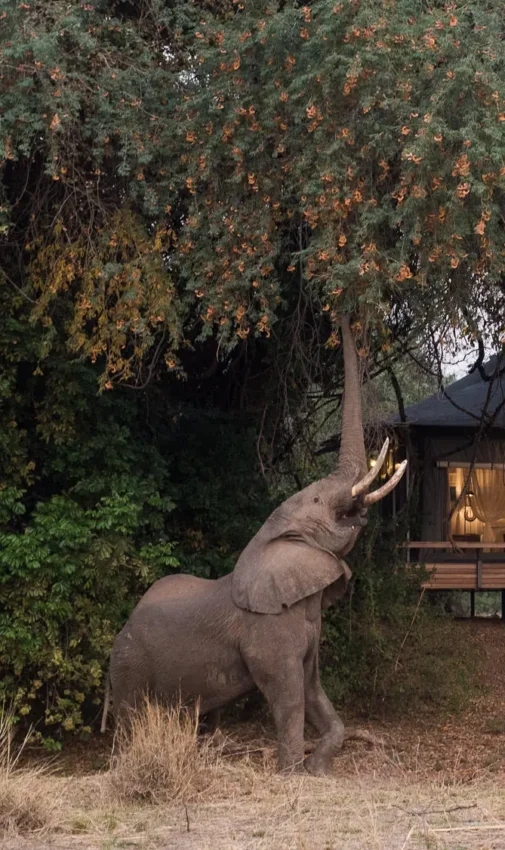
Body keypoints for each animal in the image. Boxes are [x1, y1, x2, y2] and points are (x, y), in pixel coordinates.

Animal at [103, 316, 406, 775]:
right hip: (129, 664)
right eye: (316, 501)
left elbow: (313, 689)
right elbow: (288, 693)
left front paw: (318, 769)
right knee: (131, 721)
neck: (271, 538)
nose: (341, 315)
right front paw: (291, 774)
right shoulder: (268, 630)